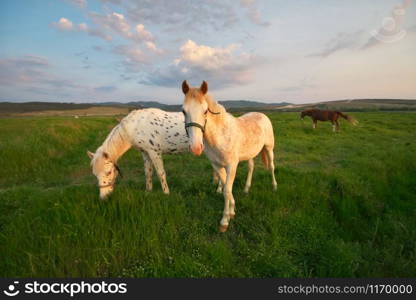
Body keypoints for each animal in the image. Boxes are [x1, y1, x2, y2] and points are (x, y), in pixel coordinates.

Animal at [181, 81, 276, 233]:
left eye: (205, 111)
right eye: (183, 111)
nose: (196, 148)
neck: (220, 135)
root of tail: (262, 114)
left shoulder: (231, 166)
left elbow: (227, 190)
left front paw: (224, 221)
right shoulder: (217, 165)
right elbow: (226, 187)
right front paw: (232, 211)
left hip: (269, 148)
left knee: (272, 167)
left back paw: (274, 187)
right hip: (250, 153)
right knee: (251, 167)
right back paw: (246, 189)